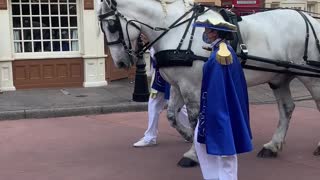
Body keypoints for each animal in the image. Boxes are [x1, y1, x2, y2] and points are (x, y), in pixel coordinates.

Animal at [97, 0, 320, 167]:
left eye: (111, 25)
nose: (120, 63)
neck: (174, 29)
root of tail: (310, 18)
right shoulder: (177, 85)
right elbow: (171, 115)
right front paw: (189, 136)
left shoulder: (191, 86)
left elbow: (194, 118)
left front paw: (192, 154)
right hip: (279, 78)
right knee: (287, 109)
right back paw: (272, 146)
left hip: (310, 77)